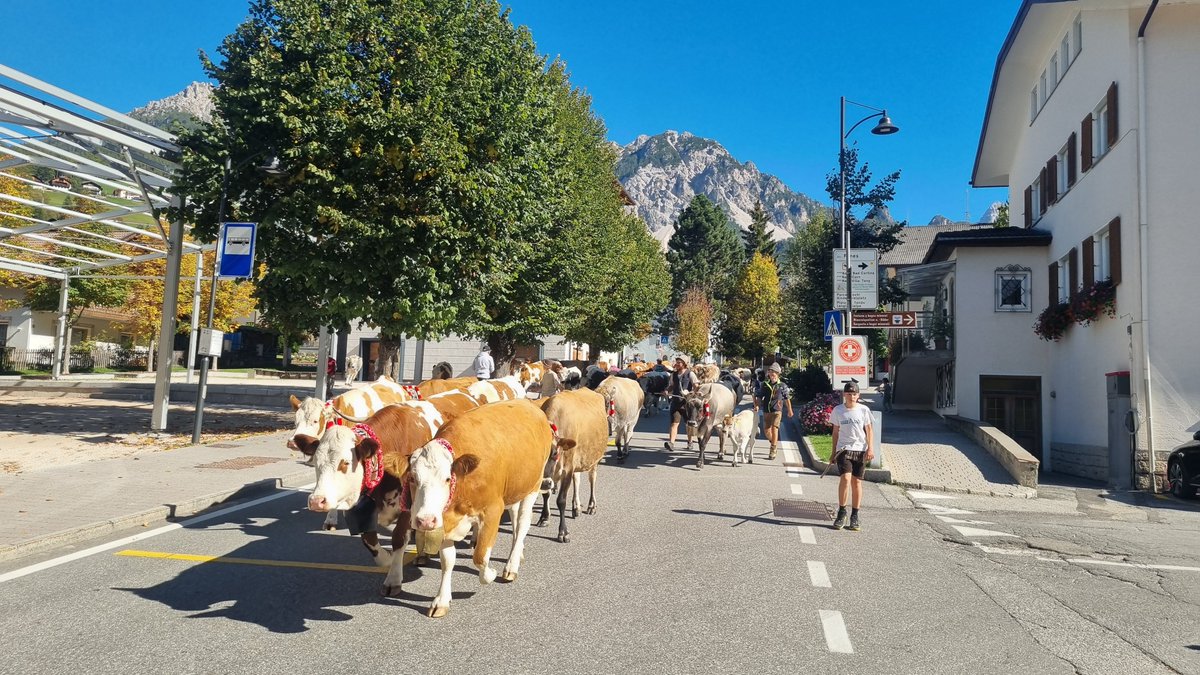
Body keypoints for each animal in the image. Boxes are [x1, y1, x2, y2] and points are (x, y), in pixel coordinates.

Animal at [406, 399, 553, 617]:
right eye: (413, 478)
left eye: (447, 479)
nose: (425, 520)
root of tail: (528, 403)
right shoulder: (445, 520)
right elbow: (447, 561)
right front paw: (441, 600)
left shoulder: (492, 510)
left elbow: (480, 555)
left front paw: (490, 574)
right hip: (515, 490)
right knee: (516, 520)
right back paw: (518, 552)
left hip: (533, 485)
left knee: (523, 523)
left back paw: (512, 565)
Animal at [535, 388, 608, 543]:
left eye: (554, 453)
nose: (542, 483)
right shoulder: (554, 475)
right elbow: (546, 494)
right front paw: (544, 517)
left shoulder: (567, 468)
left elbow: (561, 500)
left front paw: (563, 532)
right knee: (577, 480)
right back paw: (576, 507)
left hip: (594, 459)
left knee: (592, 479)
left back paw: (591, 505)